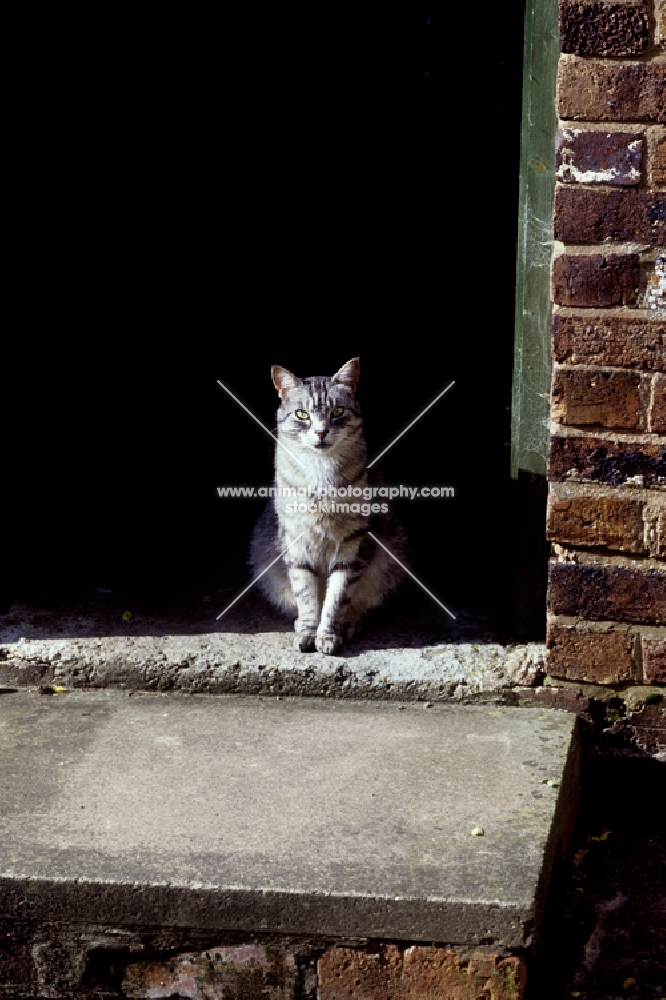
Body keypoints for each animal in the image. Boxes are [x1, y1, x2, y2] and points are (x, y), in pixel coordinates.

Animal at [249, 360, 404, 656]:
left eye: (338, 412)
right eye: (302, 414)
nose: (321, 432)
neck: (320, 473)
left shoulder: (353, 543)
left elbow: (336, 597)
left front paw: (328, 634)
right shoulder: (296, 542)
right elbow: (307, 594)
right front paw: (309, 632)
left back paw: (351, 624)